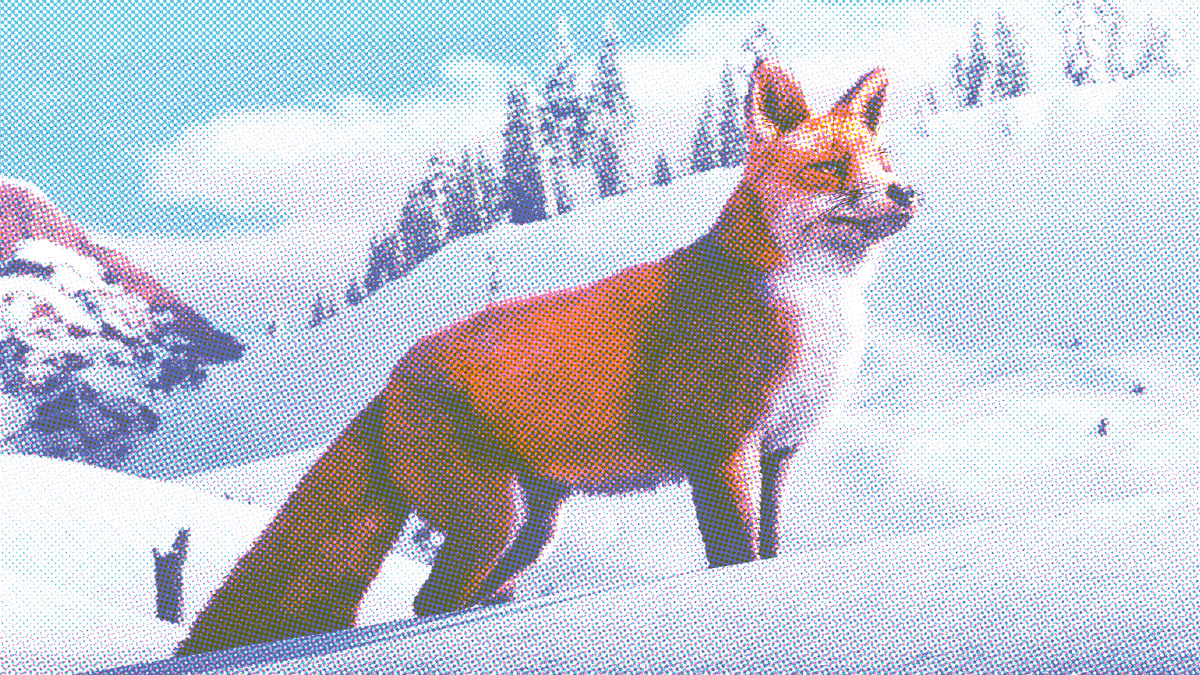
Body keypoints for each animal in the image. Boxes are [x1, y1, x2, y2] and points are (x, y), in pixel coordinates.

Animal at [177, 58, 918, 656]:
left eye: (883, 163)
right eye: (832, 169)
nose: (907, 192)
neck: (814, 312)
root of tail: (389, 380)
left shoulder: (778, 452)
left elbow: (769, 550)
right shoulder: (719, 449)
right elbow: (734, 556)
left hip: (531, 526)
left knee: (450, 595)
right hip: (489, 516)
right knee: (429, 602)